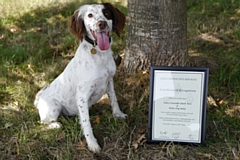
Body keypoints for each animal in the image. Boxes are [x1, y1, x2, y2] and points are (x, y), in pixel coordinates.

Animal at [34, 2, 127, 152]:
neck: (99, 54)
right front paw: (92, 144)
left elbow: (114, 100)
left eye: (106, 13)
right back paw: (55, 125)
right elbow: (86, 123)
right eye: (90, 15)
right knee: (43, 121)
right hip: (53, 107)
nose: (101, 23)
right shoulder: (82, 96)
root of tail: (39, 100)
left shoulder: (109, 81)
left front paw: (118, 115)